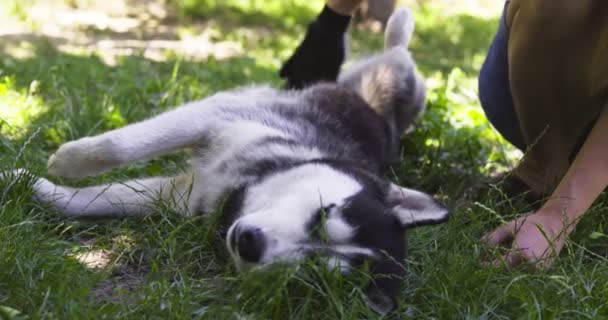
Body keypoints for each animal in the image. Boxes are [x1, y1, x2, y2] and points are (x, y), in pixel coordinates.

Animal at [14, 8, 448, 316]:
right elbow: (118, 146)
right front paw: (64, 162)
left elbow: (99, 199)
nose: (250, 243)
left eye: (311, 269)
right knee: (396, 52)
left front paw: (38, 188)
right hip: (378, 78)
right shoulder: (218, 114)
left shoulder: (183, 196)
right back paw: (399, 26)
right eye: (325, 214)